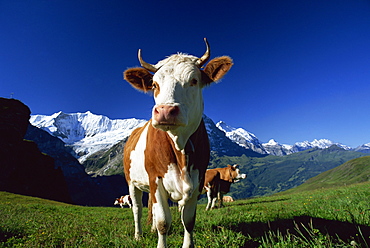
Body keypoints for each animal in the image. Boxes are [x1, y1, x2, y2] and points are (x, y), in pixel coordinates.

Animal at [123, 39, 233, 248]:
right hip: (132, 181)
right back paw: (138, 235)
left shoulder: (198, 181)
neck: (180, 147)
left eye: (194, 80)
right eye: (154, 85)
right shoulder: (156, 179)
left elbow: (188, 221)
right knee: (137, 209)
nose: (165, 111)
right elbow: (163, 222)